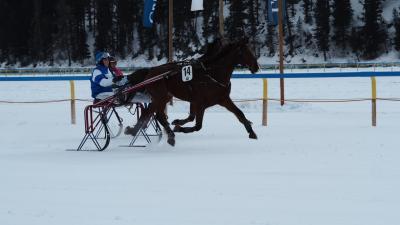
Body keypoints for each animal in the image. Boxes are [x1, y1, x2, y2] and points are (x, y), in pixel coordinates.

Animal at [126, 37, 260, 147]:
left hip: (162, 97)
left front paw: (252, 132)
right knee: (157, 115)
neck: (212, 74)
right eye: (246, 52)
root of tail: (151, 71)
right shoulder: (200, 103)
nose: (256, 67)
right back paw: (170, 136)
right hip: (160, 97)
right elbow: (197, 125)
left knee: (150, 113)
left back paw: (134, 131)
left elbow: (240, 114)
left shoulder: (223, 99)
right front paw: (178, 127)